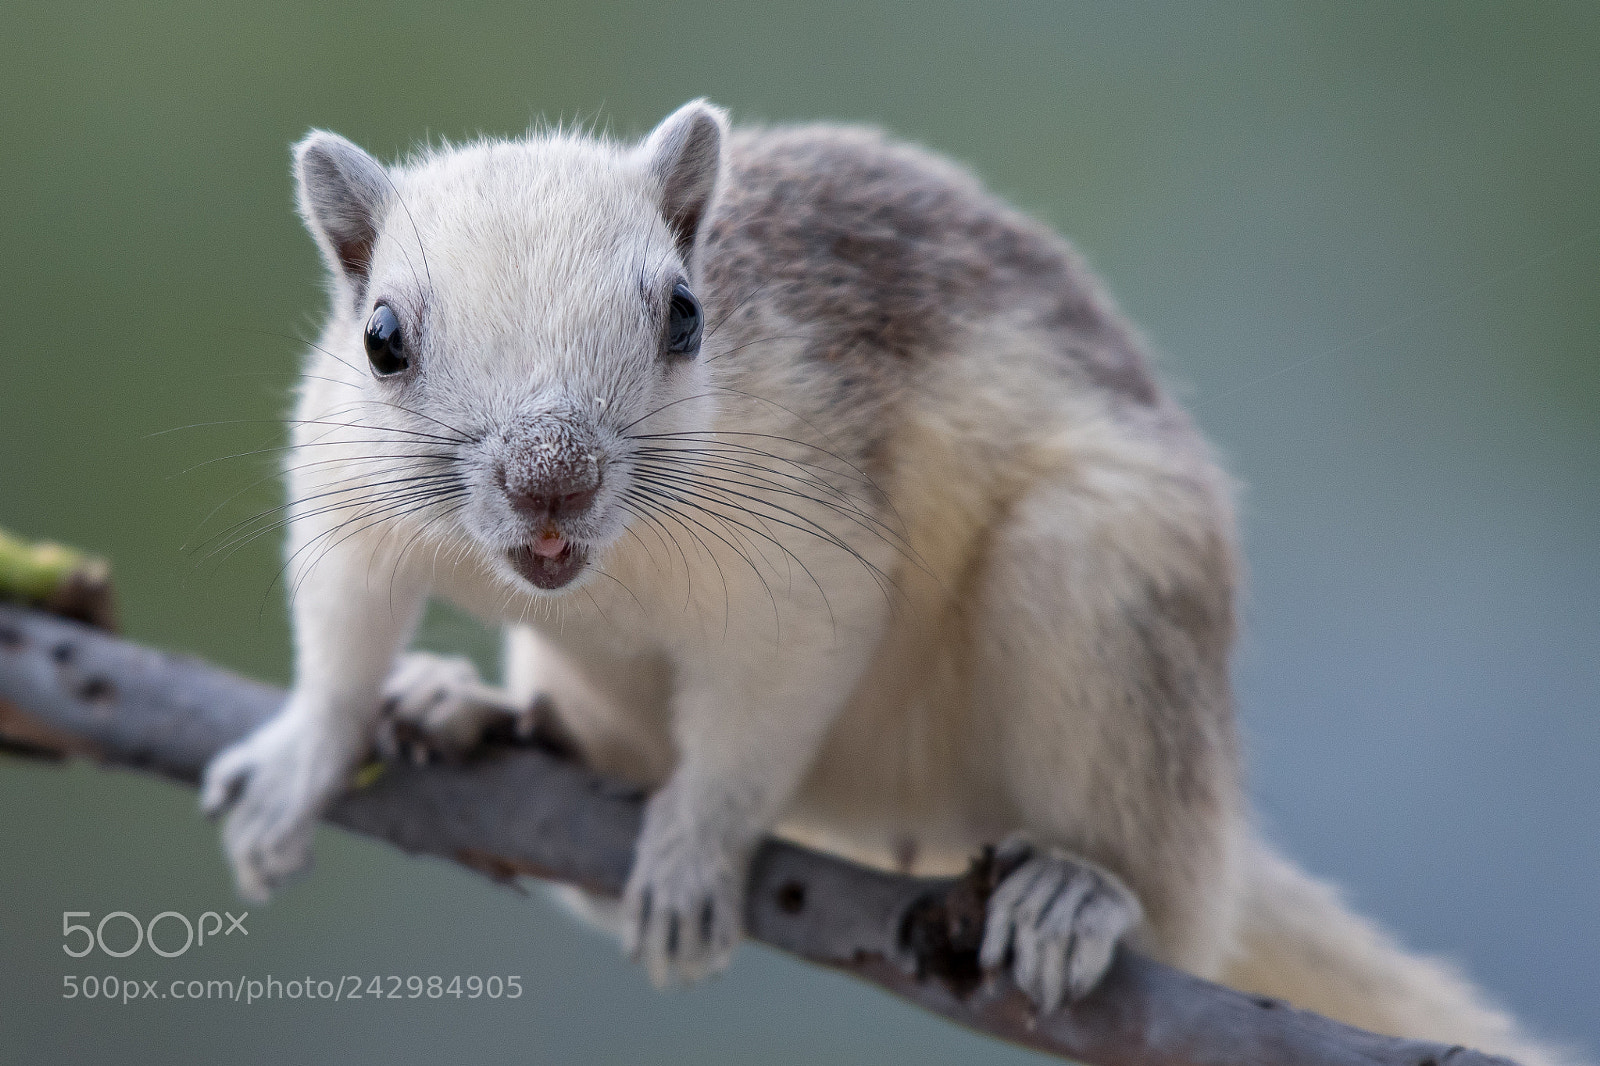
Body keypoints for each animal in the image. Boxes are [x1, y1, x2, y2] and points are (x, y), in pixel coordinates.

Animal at [201, 100, 1577, 1064]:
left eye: (686, 314)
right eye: (381, 339)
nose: (551, 482)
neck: (589, 569)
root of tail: (885, 814)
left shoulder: (806, 569)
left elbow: (756, 721)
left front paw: (695, 855)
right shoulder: (342, 500)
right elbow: (340, 635)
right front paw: (304, 756)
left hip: (1090, 587)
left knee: (1175, 905)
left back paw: (1083, 893)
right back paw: (467, 707)